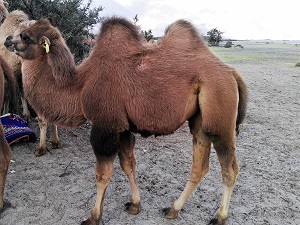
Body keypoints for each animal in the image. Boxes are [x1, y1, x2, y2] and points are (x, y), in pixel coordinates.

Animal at [5, 18, 248, 225]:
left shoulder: (106, 126)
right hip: (199, 122)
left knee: (229, 169)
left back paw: (219, 217)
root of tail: (232, 73)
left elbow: (102, 174)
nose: (7, 40)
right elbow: (128, 165)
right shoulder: (122, 128)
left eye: (25, 36)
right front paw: (134, 205)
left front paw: (93, 217)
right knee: (199, 166)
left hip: (220, 120)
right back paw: (173, 209)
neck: (80, 87)